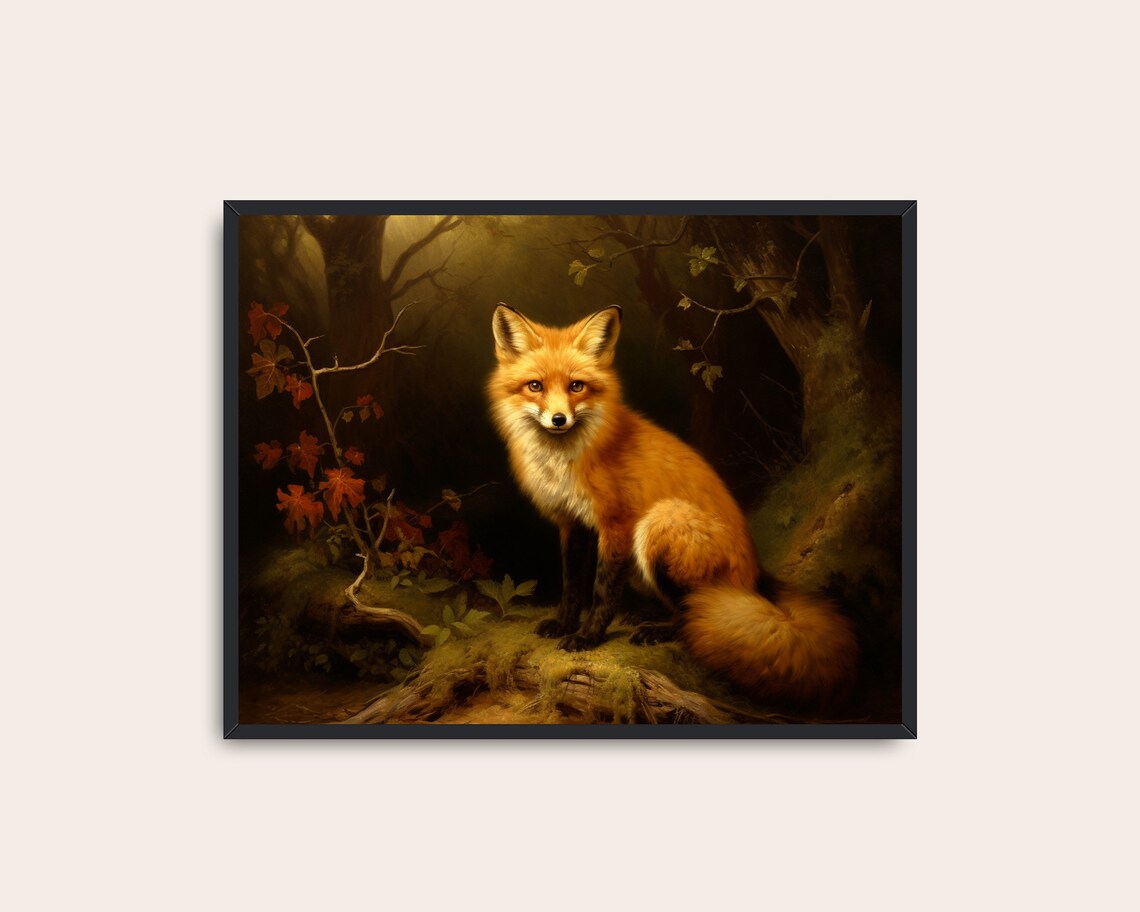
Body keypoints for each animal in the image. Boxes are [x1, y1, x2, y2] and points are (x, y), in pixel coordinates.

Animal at [488, 303, 858, 709]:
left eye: (576, 386)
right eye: (535, 386)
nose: (559, 419)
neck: (564, 460)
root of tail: (756, 580)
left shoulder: (615, 524)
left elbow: (602, 589)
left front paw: (587, 637)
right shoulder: (572, 523)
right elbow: (572, 584)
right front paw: (564, 624)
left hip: (660, 523)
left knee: (695, 617)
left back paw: (661, 630)